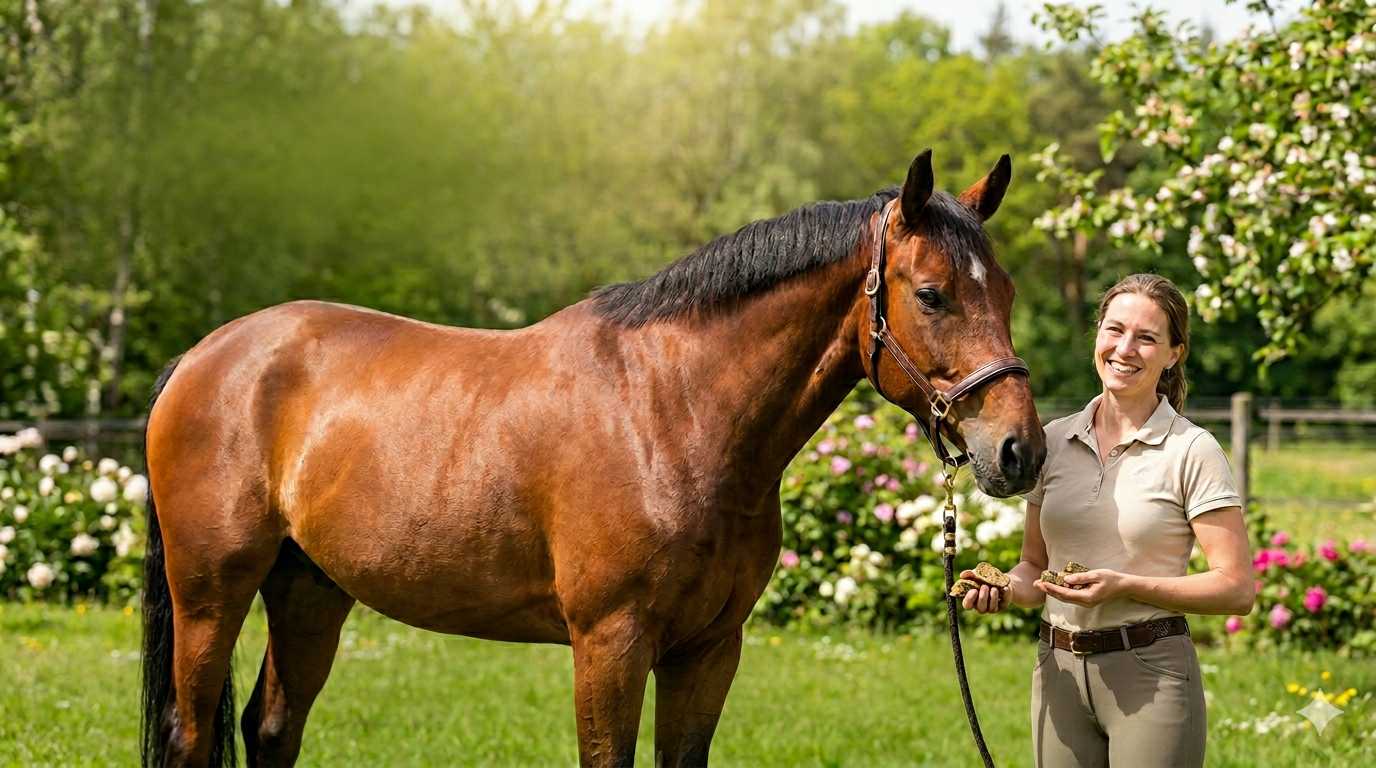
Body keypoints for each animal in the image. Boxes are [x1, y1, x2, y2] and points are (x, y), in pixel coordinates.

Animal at [140, 148, 1047, 767]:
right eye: (930, 294)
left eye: (1005, 291)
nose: (1019, 451)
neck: (671, 413)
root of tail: (205, 357)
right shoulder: (610, 643)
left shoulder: (708, 649)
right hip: (212, 592)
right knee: (190, 733)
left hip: (308, 590)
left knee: (272, 729)